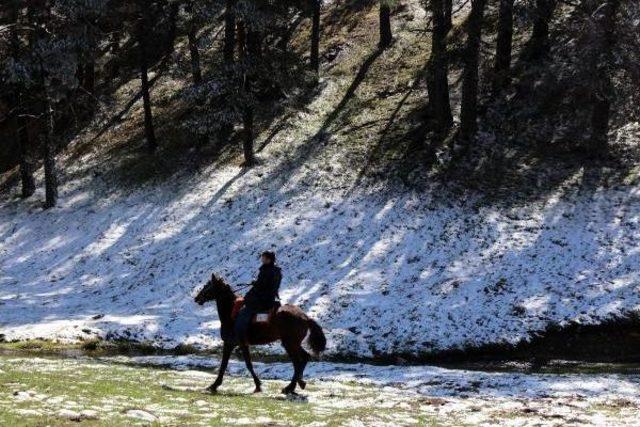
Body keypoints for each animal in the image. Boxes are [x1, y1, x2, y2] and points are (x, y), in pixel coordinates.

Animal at [194, 274, 324, 394]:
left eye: (208, 285)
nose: (196, 298)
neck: (231, 314)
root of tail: (305, 317)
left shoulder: (234, 344)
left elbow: (239, 365)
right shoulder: (234, 344)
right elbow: (228, 365)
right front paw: (214, 385)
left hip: (290, 344)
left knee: (298, 362)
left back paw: (290, 387)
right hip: (293, 344)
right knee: (303, 359)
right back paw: (298, 384)